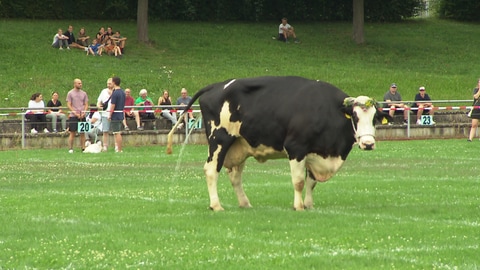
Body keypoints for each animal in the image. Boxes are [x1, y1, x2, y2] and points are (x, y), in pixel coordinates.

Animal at [167, 76, 392, 211]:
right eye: (354, 116)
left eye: (374, 118)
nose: (368, 144)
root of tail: (216, 86)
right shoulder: (296, 147)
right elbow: (299, 181)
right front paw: (298, 206)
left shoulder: (315, 152)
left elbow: (311, 182)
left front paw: (309, 205)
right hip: (219, 139)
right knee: (211, 170)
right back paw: (216, 205)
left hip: (239, 145)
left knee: (235, 177)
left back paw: (245, 203)